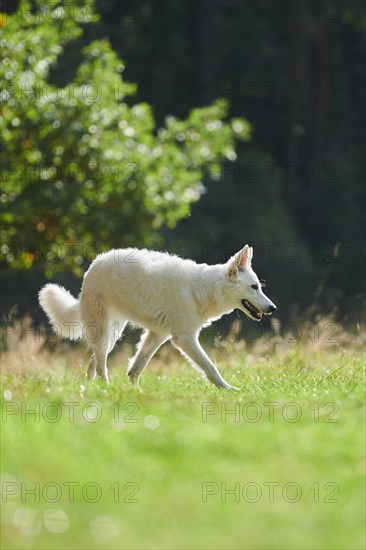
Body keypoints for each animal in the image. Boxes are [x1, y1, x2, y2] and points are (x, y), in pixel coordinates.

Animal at [38, 246, 276, 392]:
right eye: (254, 287)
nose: (273, 308)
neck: (202, 289)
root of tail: (95, 263)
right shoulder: (184, 339)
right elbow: (210, 367)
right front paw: (228, 390)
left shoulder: (158, 335)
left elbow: (136, 368)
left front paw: (136, 392)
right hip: (105, 332)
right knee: (100, 365)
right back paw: (105, 387)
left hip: (113, 333)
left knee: (93, 363)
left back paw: (92, 388)